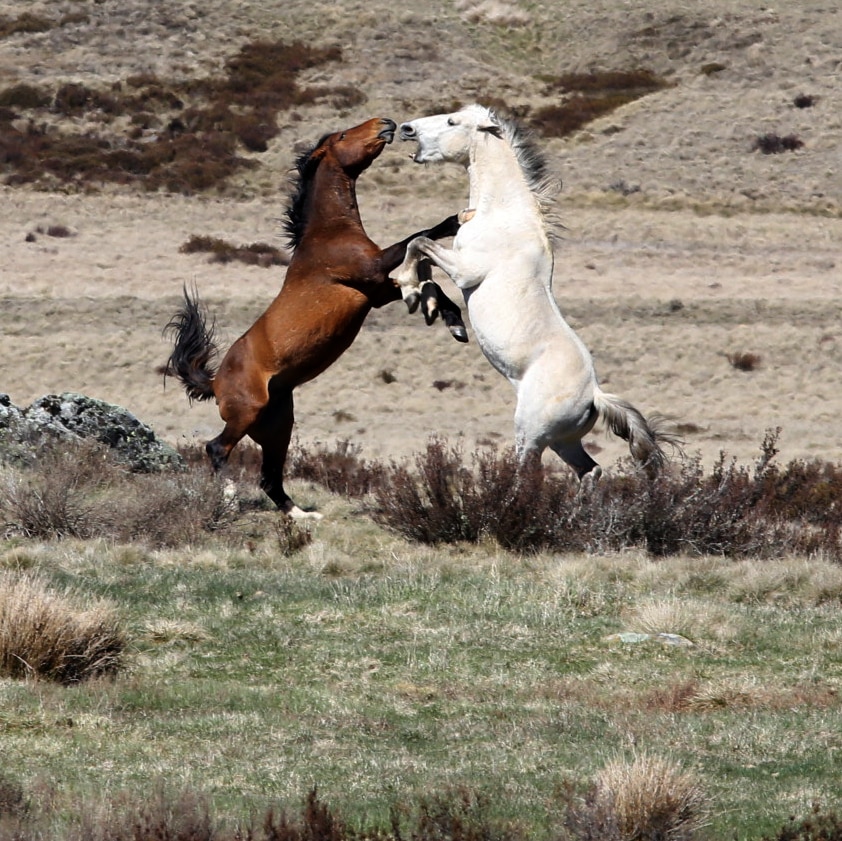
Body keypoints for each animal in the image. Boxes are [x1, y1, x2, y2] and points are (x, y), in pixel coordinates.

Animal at [164, 115, 466, 516]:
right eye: (343, 135)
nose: (385, 123)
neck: (328, 232)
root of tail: (214, 383)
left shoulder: (377, 290)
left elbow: (430, 280)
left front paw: (451, 321)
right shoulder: (371, 270)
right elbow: (418, 238)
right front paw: (457, 220)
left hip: (278, 427)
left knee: (269, 477)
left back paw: (303, 515)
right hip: (247, 413)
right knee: (216, 448)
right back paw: (229, 499)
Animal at [394, 103, 676, 480]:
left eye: (453, 121)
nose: (407, 128)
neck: (500, 212)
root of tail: (594, 396)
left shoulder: (465, 271)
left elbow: (419, 243)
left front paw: (411, 291)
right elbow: (422, 254)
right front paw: (428, 304)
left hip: (530, 436)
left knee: (528, 473)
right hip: (563, 442)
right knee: (591, 471)